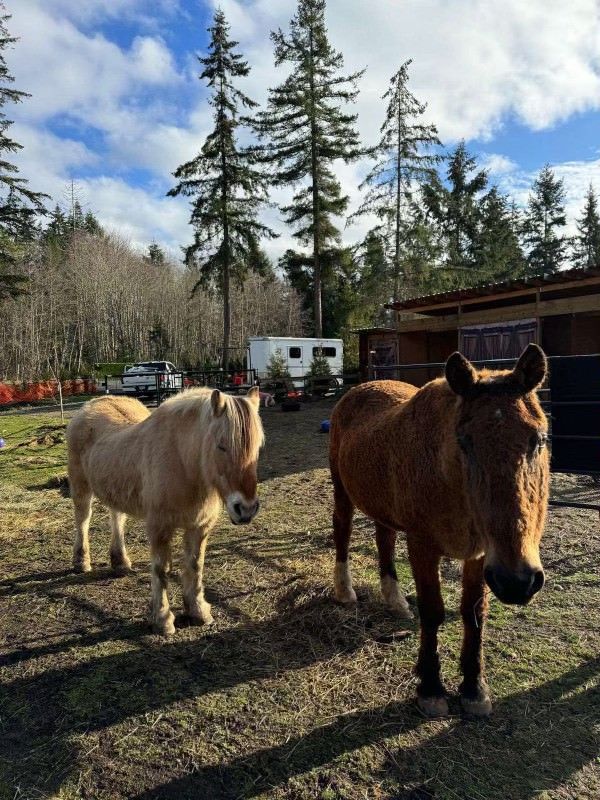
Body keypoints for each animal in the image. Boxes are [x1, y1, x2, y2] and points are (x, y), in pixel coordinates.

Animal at [66, 386, 264, 635]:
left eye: (258, 446)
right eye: (221, 445)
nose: (246, 509)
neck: (183, 463)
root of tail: (91, 405)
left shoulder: (199, 526)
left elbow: (195, 564)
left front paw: (198, 611)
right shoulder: (160, 527)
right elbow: (162, 570)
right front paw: (163, 619)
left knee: (117, 518)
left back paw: (120, 562)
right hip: (81, 487)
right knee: (82, 519)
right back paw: (81, 561)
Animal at [329, 344, 549, 717]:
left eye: (538, 439)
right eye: (464, 441)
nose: (517, 581)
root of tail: (358, 389)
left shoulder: (480, 554)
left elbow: (473, 614)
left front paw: (474, 688)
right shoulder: (423, 547)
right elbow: (432, 612)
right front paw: (430, 688)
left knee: (384, 538)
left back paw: (395, 600)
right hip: (342, 493)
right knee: (342, 532)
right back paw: (345, 592)